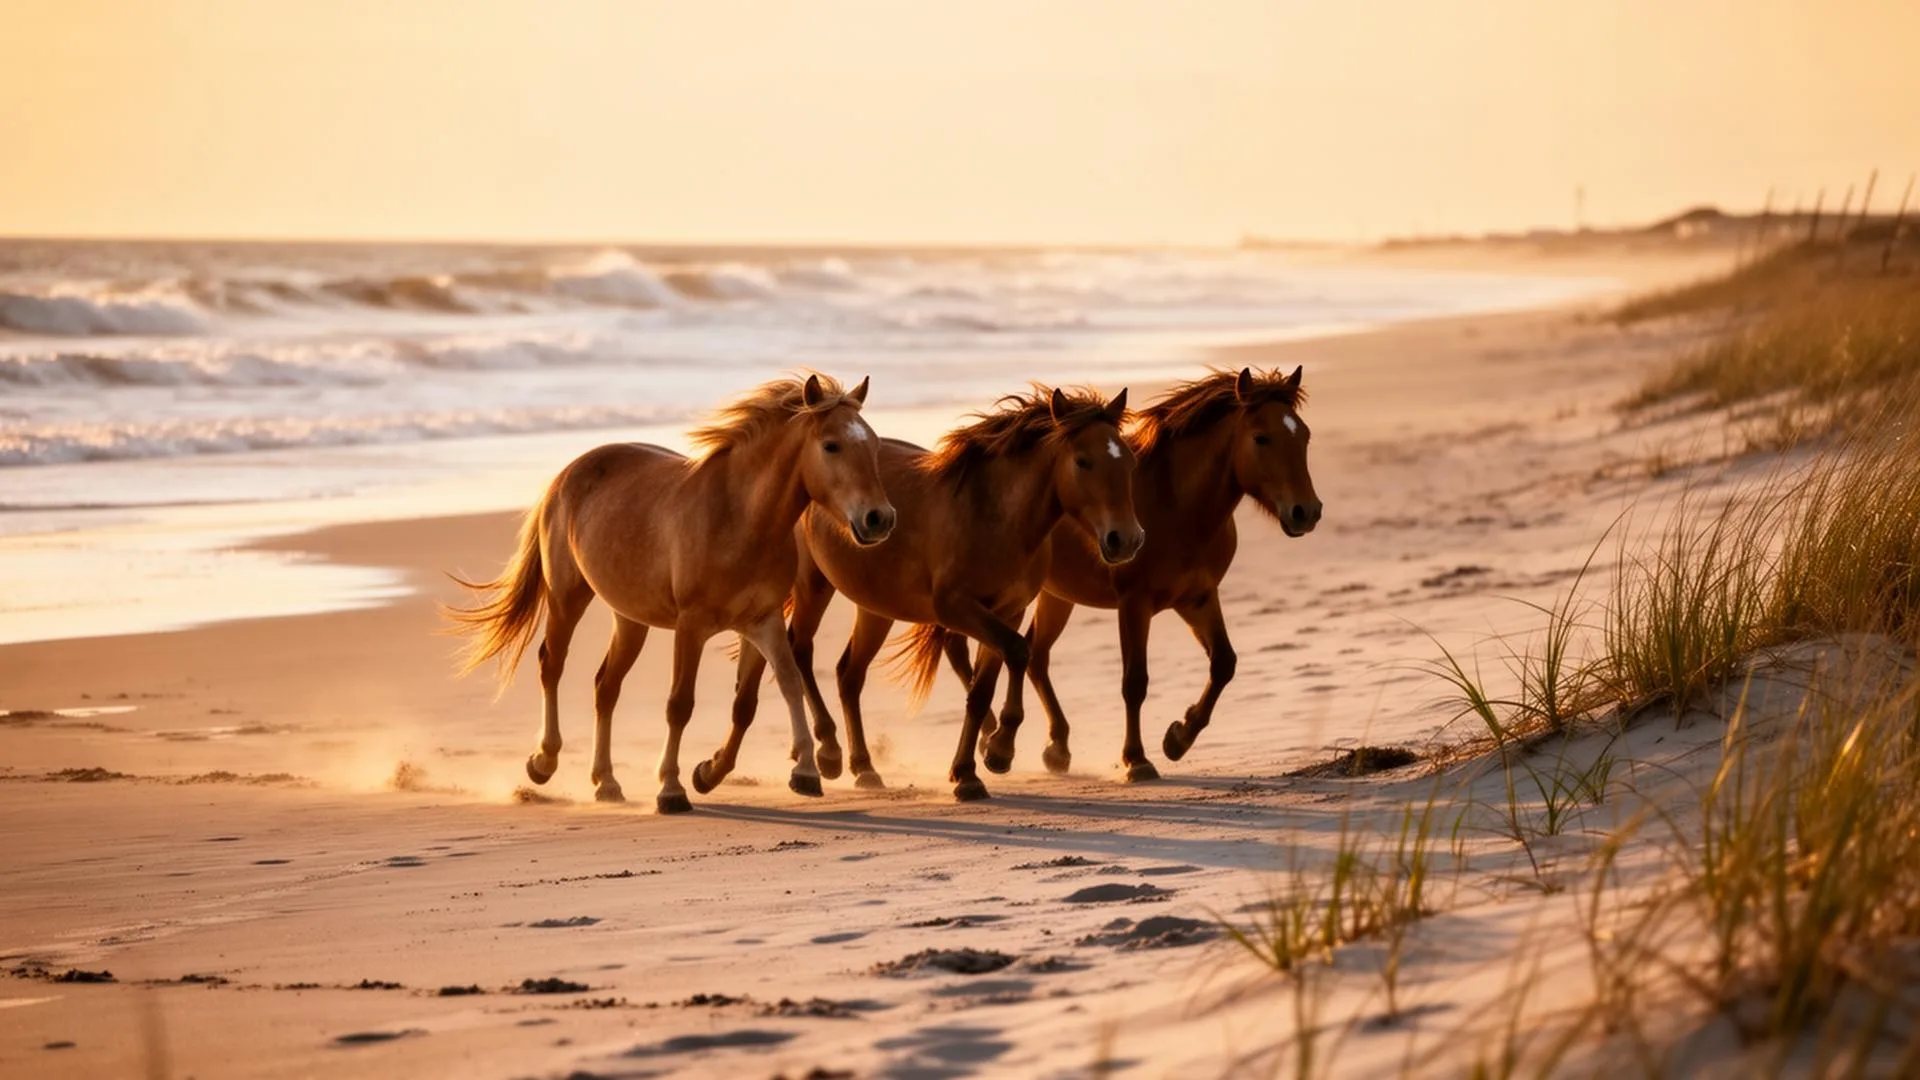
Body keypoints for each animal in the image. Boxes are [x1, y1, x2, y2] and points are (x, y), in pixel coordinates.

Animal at [445, 374, 896, 814]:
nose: (879, 519)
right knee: (551, 665)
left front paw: (793, 771)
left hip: (630, 619)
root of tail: (567, 474)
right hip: (566, 598)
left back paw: (606, 782)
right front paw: (672, 788)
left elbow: (774, 689)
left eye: (873, 444)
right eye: (831, 445)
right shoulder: (691, 626)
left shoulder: (760, 621)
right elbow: (680, 704)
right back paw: (544, 761)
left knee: (605, 687)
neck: (739, 518)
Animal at [703, 387, 1143, 802]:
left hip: (875, 605)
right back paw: (828, 753)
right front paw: (998, 750)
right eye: (1083, 461)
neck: (995, 517)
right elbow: (1017, 652)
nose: (1125, 540)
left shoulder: (1008, 610)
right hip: (814, 585)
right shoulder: (957, 608)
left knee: (849, 674)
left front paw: (970, 771)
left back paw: (864, 767)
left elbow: (985, 685)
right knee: (801, 651)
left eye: (1128, 461)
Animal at [991, 366, 1320, 781]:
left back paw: (1056, 748)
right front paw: (1137, 760)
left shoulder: (1198, 598)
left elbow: (1223, 663)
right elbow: (1135, 682)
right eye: (1262, 438)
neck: (1176, 506)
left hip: (1057, 596)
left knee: (1035, 655)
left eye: (1304, 435)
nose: (1306, 512)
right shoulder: (1135, 603)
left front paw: (1179, 737)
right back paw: (998, 746)